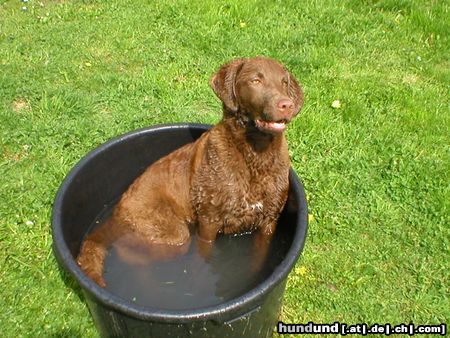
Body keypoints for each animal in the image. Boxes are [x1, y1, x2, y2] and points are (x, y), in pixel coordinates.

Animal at [77, 56, 304, 286]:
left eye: (284, 82)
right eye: (256, 81)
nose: (286, 104)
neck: (255, 153)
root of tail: (116, 212)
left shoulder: (269, 222)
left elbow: (260, 258)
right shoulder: (209, 222)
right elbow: (203, 256)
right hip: (171, 233)